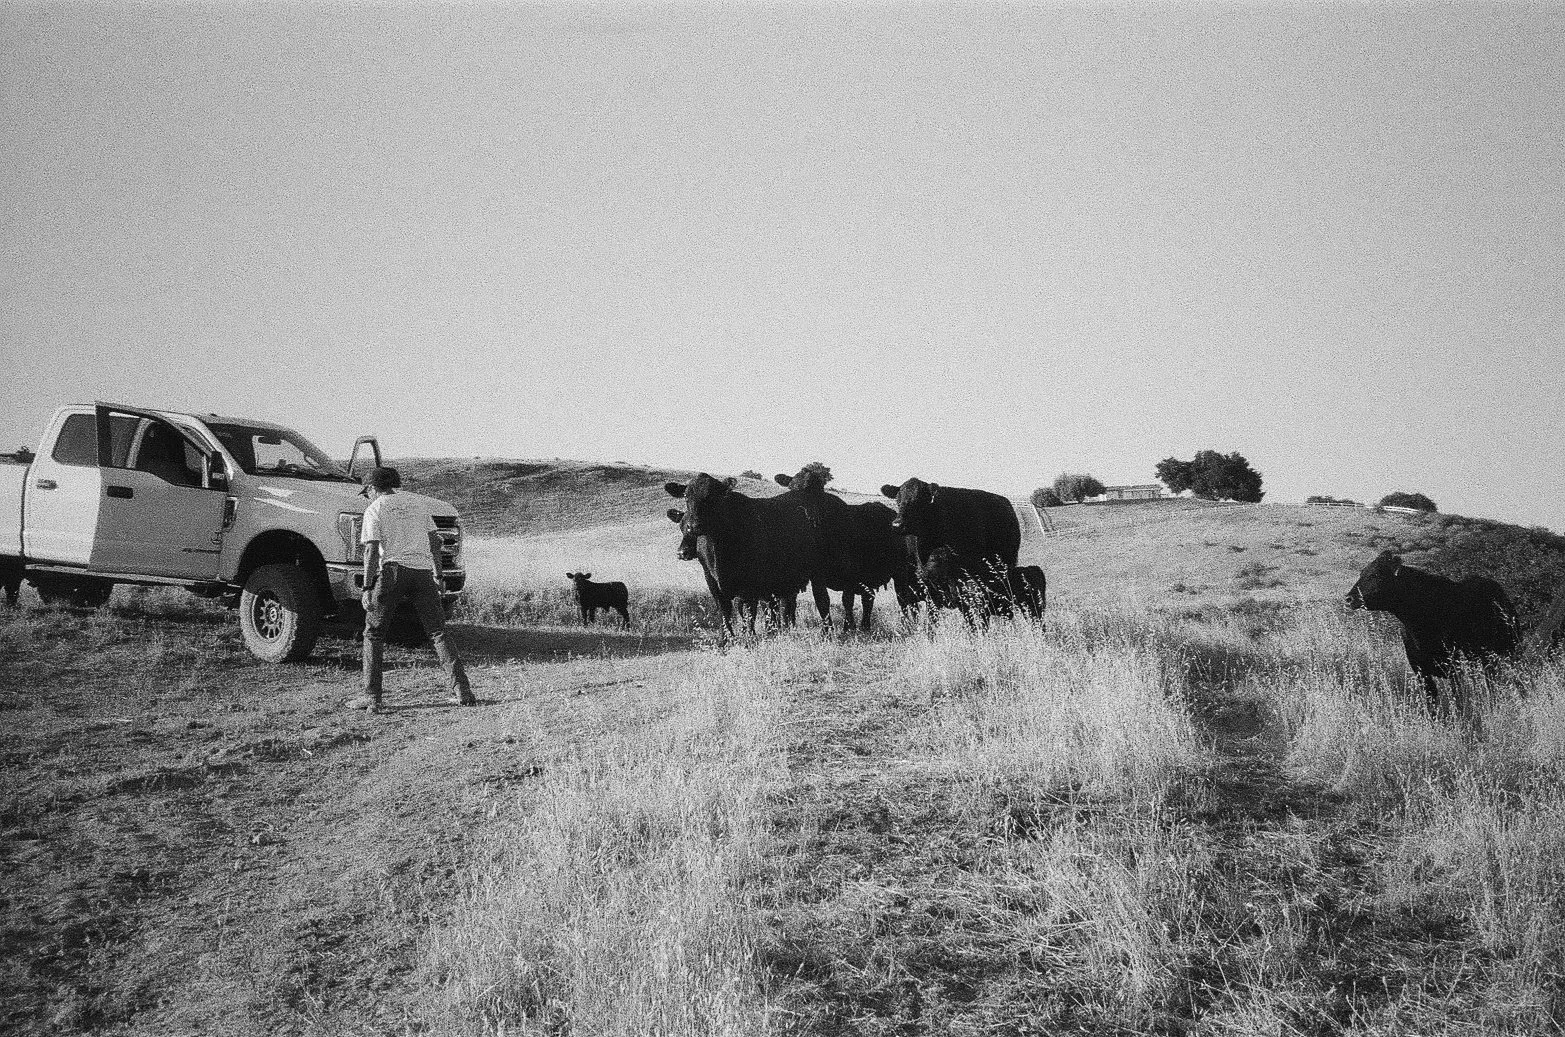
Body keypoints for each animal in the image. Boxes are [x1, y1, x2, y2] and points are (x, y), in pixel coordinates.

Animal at [665, 473, 820, 636]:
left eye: (712, 496)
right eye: (686, 496)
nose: (694, 526)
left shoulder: (752, 585)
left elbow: (749, 614)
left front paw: (750, 637)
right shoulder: (711, 579)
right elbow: (725, 612)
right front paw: (726, 639)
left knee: (786, 606)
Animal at [774, 468, 917, 631]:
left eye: (813, 489)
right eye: (791, 487)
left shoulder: (850, 575)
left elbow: (847, 601)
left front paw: (848, 627)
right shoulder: (817, 576)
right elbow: (822, 601)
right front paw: (827, 629)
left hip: (900, 571)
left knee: (902, 598)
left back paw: (905, 624)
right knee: (869, 599)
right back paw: (865, 626)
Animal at [1345, 550, 1521, 711]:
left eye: (1375, 574)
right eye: (1362, 572)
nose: (1348, 598)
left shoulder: (1454, 666)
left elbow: (1458, 700)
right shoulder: (1420, 669)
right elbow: (1432, 704)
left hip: (1510, 651)